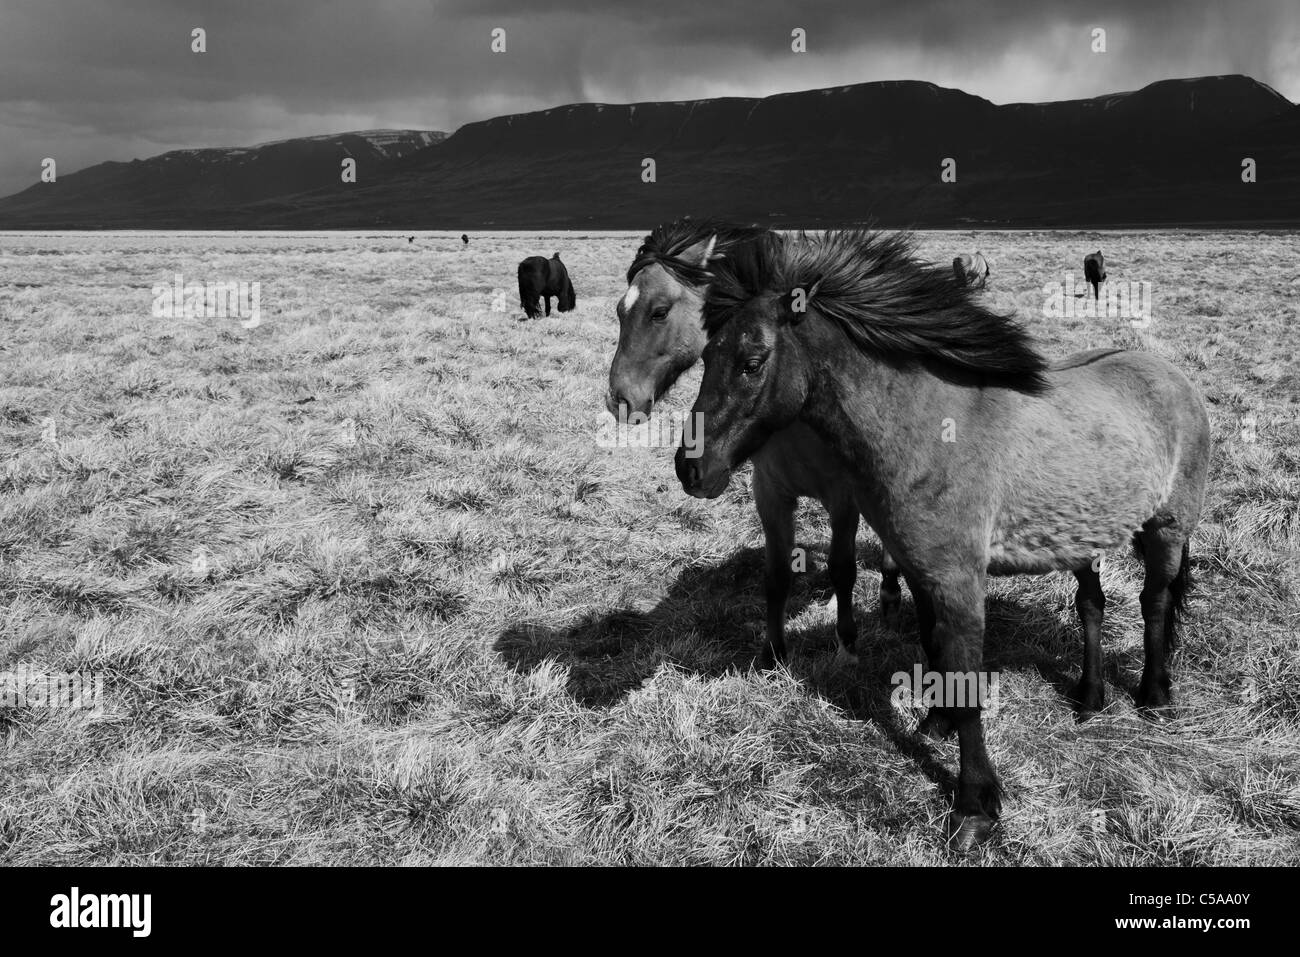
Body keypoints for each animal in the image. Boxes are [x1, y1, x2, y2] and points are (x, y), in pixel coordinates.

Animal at [606, 218, 903, 669]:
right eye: (621, 311)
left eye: (659, 311)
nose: (618, 400)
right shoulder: (770, 492)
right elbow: (776, 574)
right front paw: (773, 654)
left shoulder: (844, 497)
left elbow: (843, 568)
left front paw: (847, 646)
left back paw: (888, 592)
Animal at [675, 229, 1211, 850]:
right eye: (705, 357)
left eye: (752, 363)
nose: (691, 468)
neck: (928, 428)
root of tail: (1172, 376)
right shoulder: (918, 568)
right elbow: (931, 644)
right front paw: (934, 721)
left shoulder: (959, 581)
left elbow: (967, 681)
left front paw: (976, 804)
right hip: (1084, 537)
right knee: (1093, 606)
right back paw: (1090, 697)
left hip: (1167, 528)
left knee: (1155, 603)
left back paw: (1154, 695)